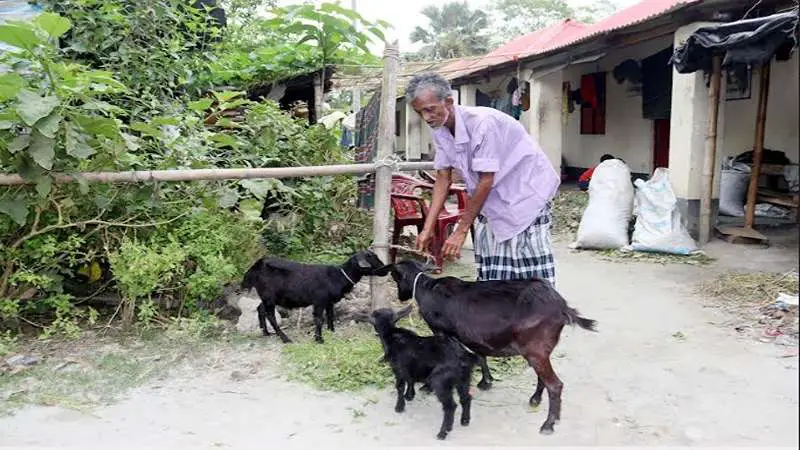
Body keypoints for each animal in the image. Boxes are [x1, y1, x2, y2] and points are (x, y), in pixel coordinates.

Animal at [242, 251, 390, 342]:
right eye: (372, 258)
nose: (387, 269)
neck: (338, 276)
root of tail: (257, 265)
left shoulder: (329, 301)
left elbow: (330, 315)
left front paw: (331, 331)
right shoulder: (319, 301)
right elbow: (319, 319)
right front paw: (319, 339)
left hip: (268, 297)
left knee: (260, 309)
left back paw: (265, 332)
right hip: (269, 297)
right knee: (271, 316)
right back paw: (285, 339)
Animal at [358, 306, 478, 440]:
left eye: (374, 314)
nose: (364, 313)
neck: (391, 335)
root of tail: (464, 357)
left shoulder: (398, 369)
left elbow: (400, 386)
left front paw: (399, 407)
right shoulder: (410, 367)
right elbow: (411, 379)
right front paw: (409, 395)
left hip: (440, 381)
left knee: (450, 406)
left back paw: (443, 432)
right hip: (464, 378)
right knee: (466, 398)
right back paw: (465, 420)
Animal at [378, 260, 596, 436]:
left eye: (394, 275)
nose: (401, 296)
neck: (426, 288)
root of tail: (562, 308)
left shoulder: (441, 331)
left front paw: (426, 386)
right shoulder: (471, 336)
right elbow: (480, 354)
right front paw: (486, 381)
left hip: (536, 349)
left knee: (555, 385)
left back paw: (548, 424)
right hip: (538, 351)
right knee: (542, 376)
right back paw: (536, 400)